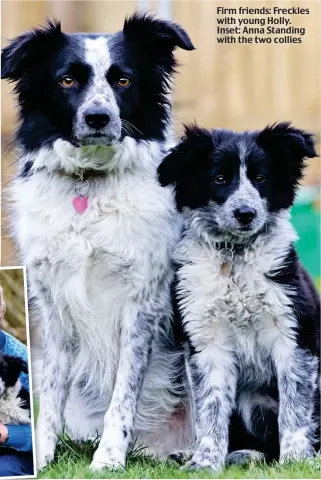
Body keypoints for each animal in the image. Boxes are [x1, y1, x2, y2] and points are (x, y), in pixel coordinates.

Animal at [1, 13, 194, 470]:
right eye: (67, 80)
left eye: (122, 80)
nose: (98, 118)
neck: (89, 184)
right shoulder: (53, 307)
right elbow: (51, 393)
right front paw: (43, 460)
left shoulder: (141, 303)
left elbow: (123, 395)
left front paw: (108, 460)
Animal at [158, 122, 320, 470]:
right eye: (219, 178)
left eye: (261, 178)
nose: (245, 213)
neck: (235, 255)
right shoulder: (207, 342)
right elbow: (210, 409)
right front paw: (204, 462)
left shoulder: (293, 336)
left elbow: (295, 406)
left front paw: (297, 460)